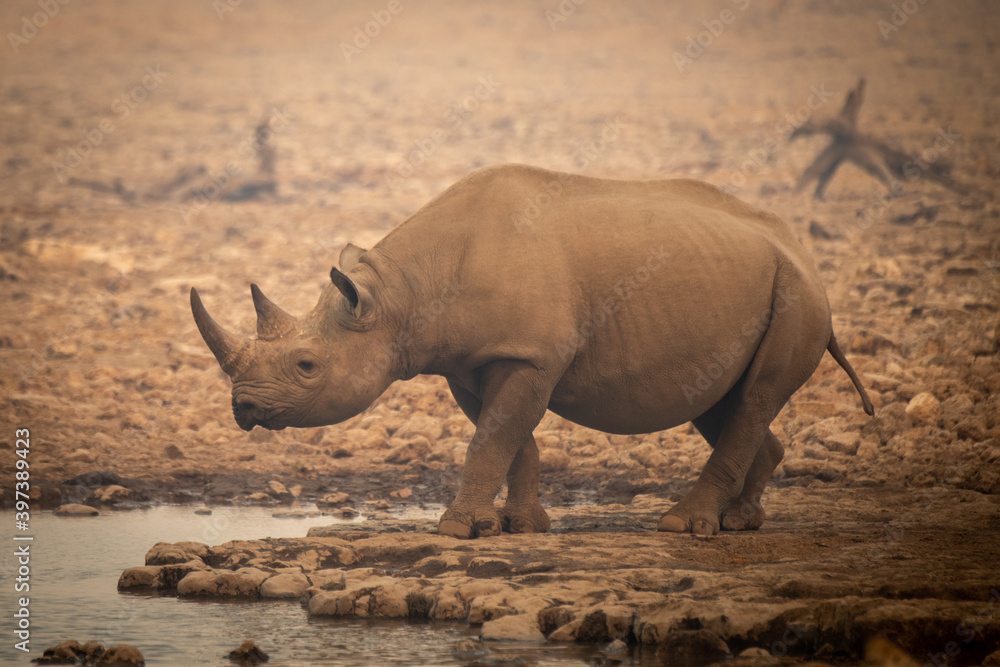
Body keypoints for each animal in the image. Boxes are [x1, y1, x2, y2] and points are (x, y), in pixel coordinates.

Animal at [191, 164, 873, 538]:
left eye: (306, 367)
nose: (243, 409)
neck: (401, 295)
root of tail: (804, 252)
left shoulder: (529, 355)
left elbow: (492, 437)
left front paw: (455, 529)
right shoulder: (475, 362)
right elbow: (509, 438)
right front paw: (519, 527)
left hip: (798, 295)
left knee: (754, 396)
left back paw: (686, 527)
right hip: (752, 287)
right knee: (723, 400)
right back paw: (741, 520)